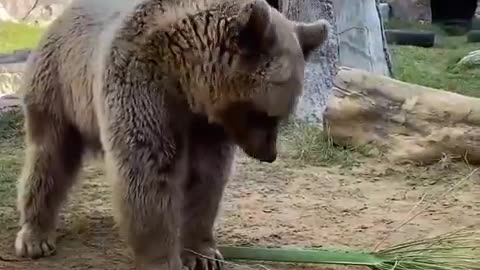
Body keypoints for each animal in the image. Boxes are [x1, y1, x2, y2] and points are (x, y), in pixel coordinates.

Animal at [15, 0, 330, 268]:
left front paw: (202, 253)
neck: (185, 78)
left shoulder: (206, 126)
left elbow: (206, 178)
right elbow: (149, 175)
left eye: (281, 116)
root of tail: (62, 16)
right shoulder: (142, 88)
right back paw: (35, 236)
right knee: (50, 156)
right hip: (58, 87)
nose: (269, 153)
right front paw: (162, 258)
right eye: (266, 115)